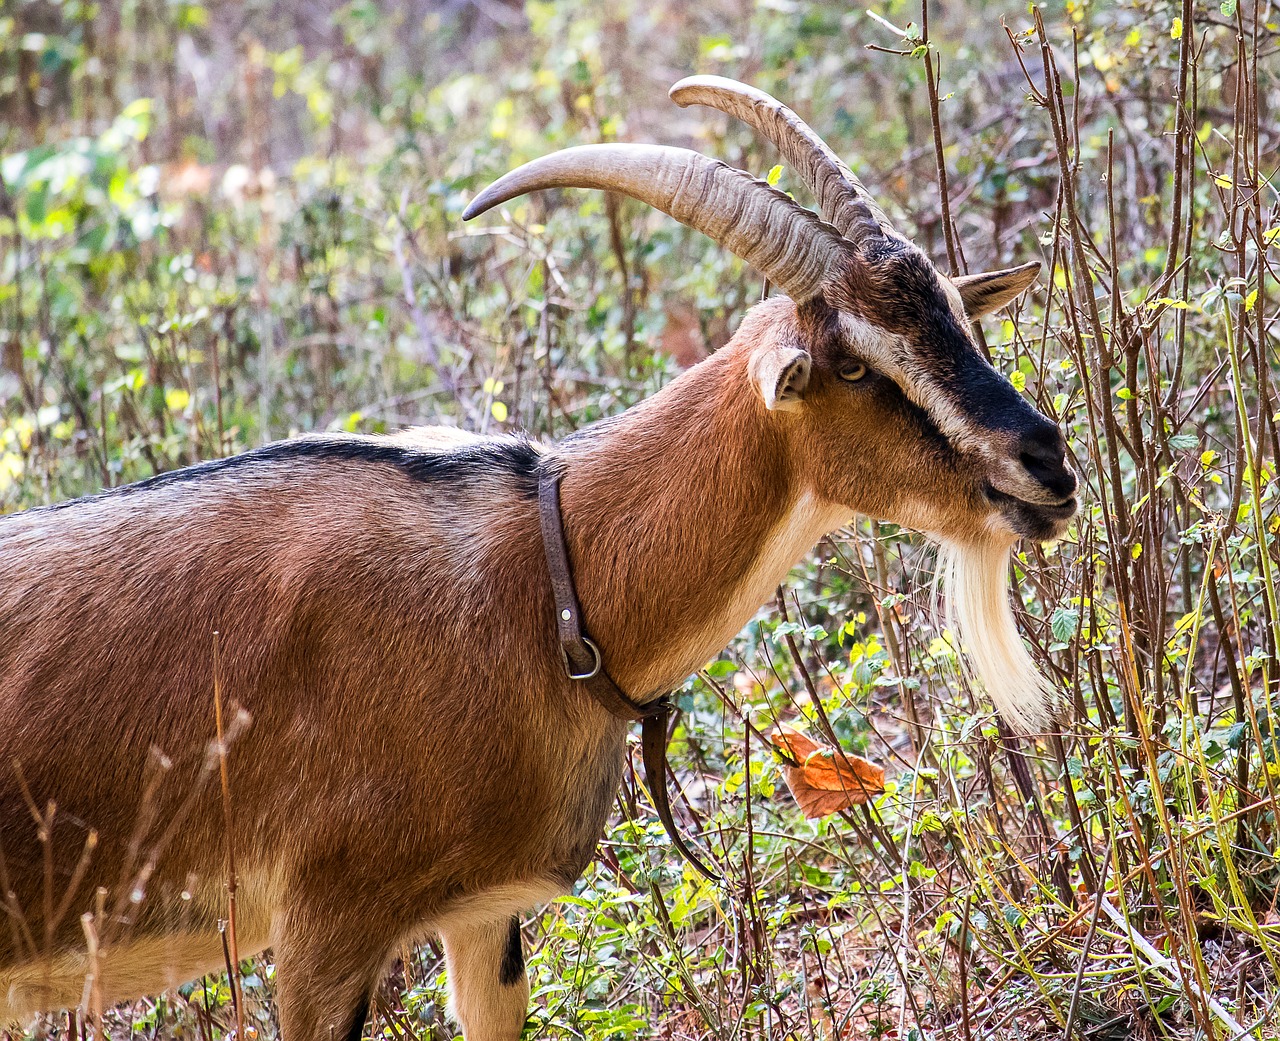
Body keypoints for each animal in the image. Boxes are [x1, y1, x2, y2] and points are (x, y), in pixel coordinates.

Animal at [2, 81, 1080, 1039]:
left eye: (959, 321)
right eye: (852, 364)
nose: (1046, 462)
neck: (547, 584)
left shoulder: (484, 916)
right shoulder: (324, 924)